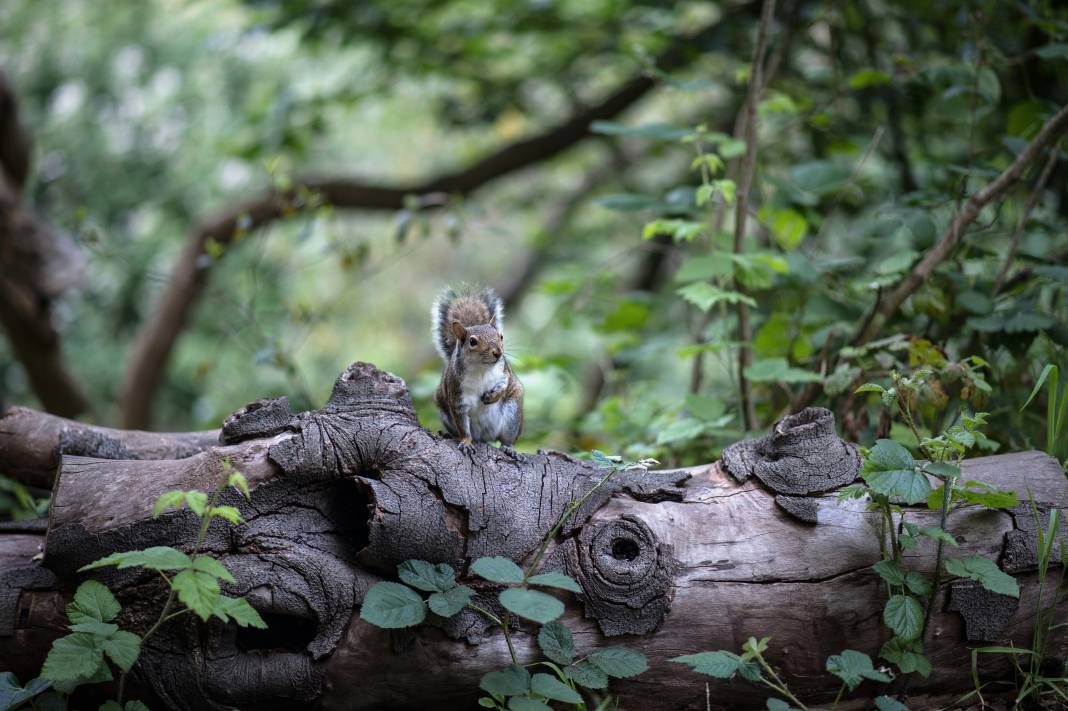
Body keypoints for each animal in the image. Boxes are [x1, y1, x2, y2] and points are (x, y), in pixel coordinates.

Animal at [429, 286, 521, 456]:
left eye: (501, 336)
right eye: (472, 341)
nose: (498, 352)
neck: (481, 368)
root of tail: (486, 436)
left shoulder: (503, 370)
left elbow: (505, 382)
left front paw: (492, 397)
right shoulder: (456, 395)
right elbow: (463, 427)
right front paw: (466, 442)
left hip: (513, 415)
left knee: (507, 439)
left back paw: (509, 448)